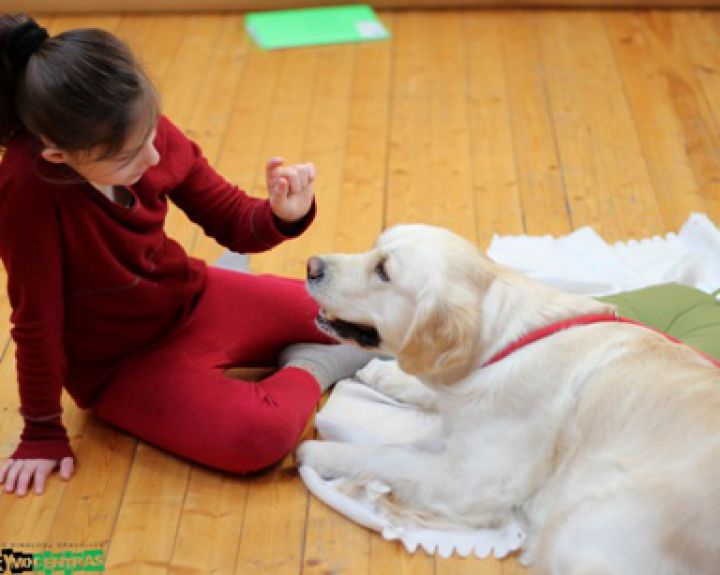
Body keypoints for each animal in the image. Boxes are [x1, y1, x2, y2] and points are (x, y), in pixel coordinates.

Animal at [296, 224, 720, 575]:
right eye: (373, 248)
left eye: (383, 271)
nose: (311, 265)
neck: (500, 344)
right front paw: (382, 373)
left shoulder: (472, 480)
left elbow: (387, 455)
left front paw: (320, 453)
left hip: (586, 532)